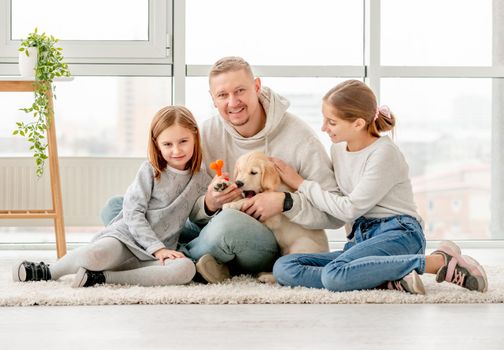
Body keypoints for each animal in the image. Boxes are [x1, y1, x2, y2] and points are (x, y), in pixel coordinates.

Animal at [222, 152, 328, 284]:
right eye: (240, 171)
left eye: (253, 172)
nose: (239, 183)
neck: (272, 187)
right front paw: (225, 185)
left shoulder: (273, 215)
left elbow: (249, 200)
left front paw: (232, 204)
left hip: (301, 245)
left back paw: (266, 277)